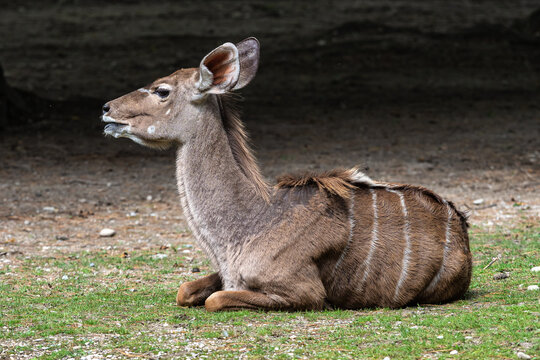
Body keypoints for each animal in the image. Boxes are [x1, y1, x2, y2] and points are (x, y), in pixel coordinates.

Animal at [102, 38, 472, 310]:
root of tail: (461, 227)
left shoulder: (302, 292)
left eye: (162, 90)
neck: (247, 224)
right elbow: (186, 290)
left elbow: (214, 300)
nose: (106, 109)